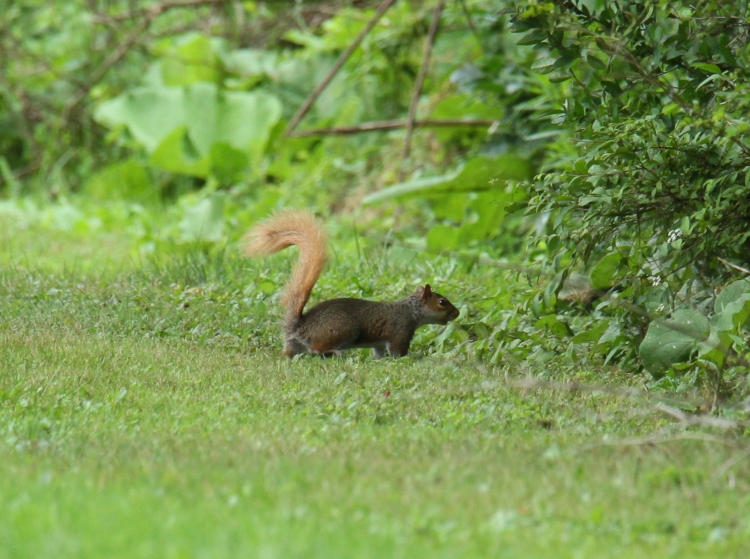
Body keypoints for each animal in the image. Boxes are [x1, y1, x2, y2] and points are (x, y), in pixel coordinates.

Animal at [244, 210, 462, 358]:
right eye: (442, 302)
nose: (457, 313)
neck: (411, 311)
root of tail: (298, 328)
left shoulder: (380, 343)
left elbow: (380, 353)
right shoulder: (400, 331)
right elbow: (398, 352)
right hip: (343, 330)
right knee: (316, 349)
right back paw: (335, 353)